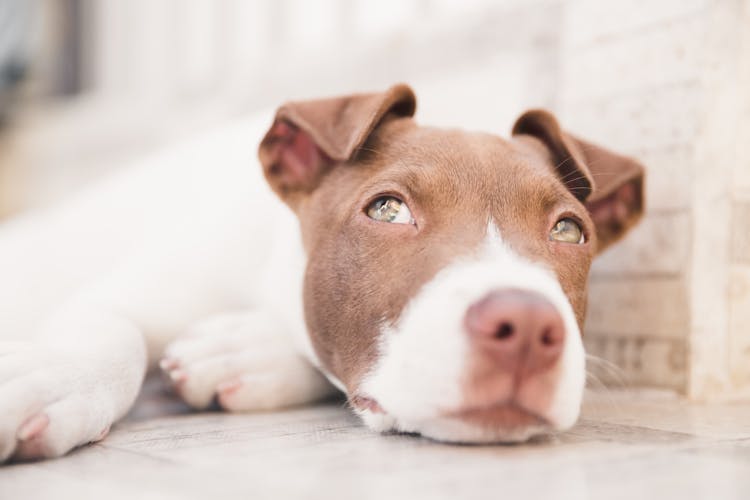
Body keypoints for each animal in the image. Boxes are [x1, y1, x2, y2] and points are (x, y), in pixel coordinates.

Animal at [0, 83, 648, 460]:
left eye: (568, 231)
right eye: (387, 209)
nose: (528, 327)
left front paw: (243, 353)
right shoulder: (133, 291)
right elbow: (110, 334)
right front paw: (53, 380)